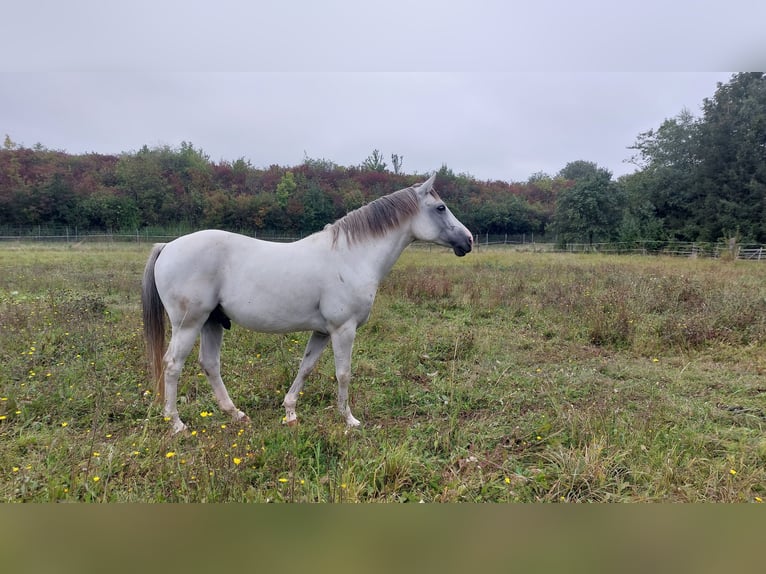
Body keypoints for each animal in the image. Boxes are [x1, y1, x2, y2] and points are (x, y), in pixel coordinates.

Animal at [141, 173, 472, 434]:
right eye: (440, 207)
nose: (468, 240)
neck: (352, 256)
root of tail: (168, 246)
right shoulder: (343, 330)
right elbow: (343, 373)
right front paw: (349, 420)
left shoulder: (323, 331)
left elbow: (306, 367)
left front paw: (290, 412)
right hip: (189, 323)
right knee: (172, 365)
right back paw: (176, 423)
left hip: (212, 321)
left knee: (210, 365)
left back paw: (236, 414)